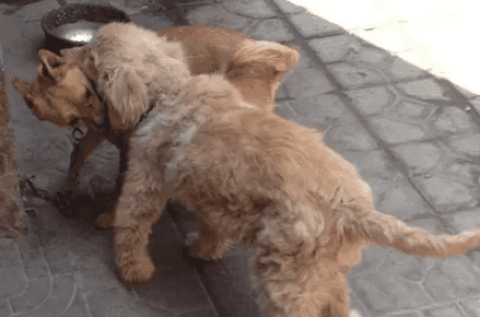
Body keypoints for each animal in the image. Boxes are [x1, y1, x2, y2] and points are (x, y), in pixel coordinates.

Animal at [12, 24, 300, 210]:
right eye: (72, 120)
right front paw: (69, 189)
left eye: (87, 93)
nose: (63, 53)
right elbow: (78, 154)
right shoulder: (99, 133)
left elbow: (122, 180)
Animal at [65, 23, 480, 316]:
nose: (67, 52)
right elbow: (211, 228)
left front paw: (133, 270)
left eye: (92, 54)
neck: (169, 91)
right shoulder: (214, 193)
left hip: (286, 279)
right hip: (325, 273)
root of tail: (354, 211)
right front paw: (204, 250)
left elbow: (131, 226)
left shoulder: (145, 181)